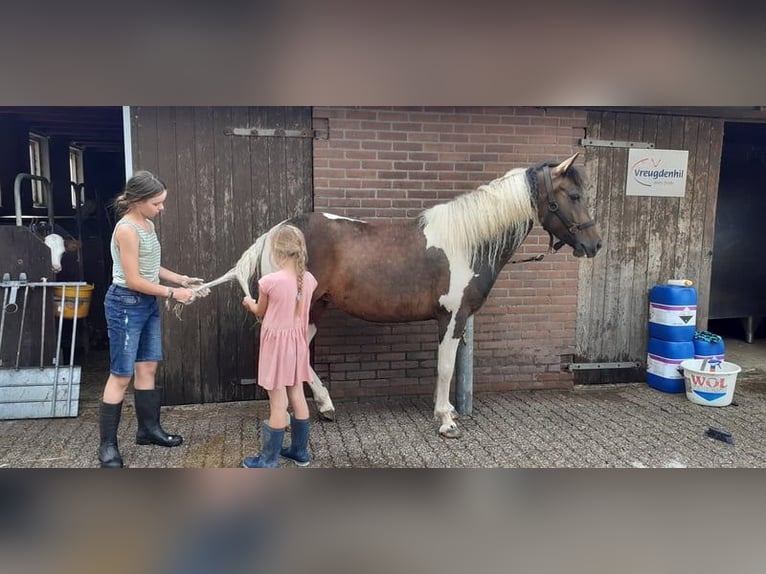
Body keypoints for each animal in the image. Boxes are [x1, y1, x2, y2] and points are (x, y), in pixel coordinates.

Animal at [191, 153, 602, 438]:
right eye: (574, 195)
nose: (594, 244)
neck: (466, 242)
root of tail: (278, 230)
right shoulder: (451, 317)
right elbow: (445, 366)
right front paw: (446, 420)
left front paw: (448, 411)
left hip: (315, 307)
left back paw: (323, 406)